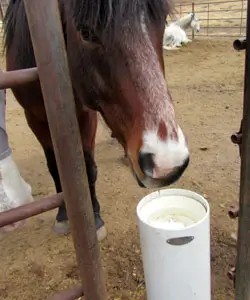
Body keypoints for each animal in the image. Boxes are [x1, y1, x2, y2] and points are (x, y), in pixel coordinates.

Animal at [2, 0, 189, 240]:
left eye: (162, 21)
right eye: (85, 32)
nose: (166, 163)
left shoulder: (85, 115)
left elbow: (88, 167)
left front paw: (95, 217)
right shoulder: (34, 119)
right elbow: (55, 167)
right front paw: (63, 215)